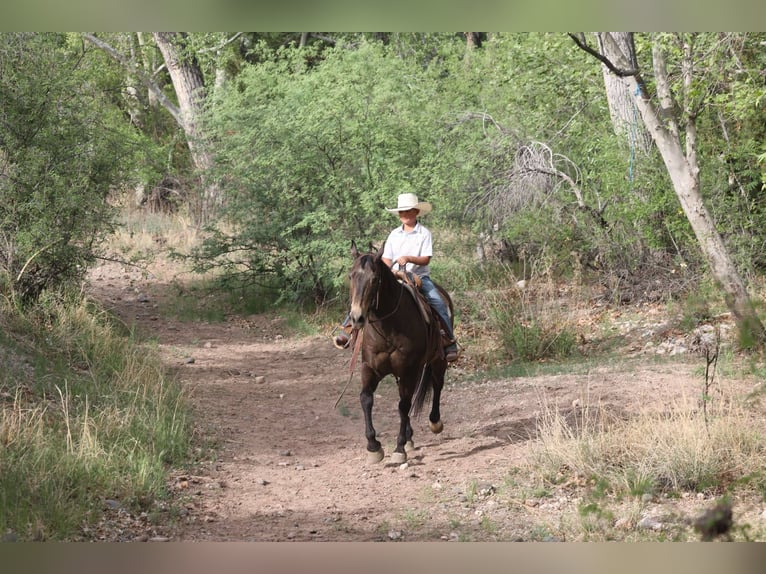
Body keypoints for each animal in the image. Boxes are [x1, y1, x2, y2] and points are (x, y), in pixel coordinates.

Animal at [346, 241, 452, 464]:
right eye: (351, 276)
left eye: (374, 279)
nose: (357, 318)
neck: (388, 326)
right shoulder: (370, 368)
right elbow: (366, 398)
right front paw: (374, 447)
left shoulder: (408, 370)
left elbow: (403, 405)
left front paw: (399, 448)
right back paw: (411, 438)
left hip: (438, 360)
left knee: (437, 385)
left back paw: (434, 423)